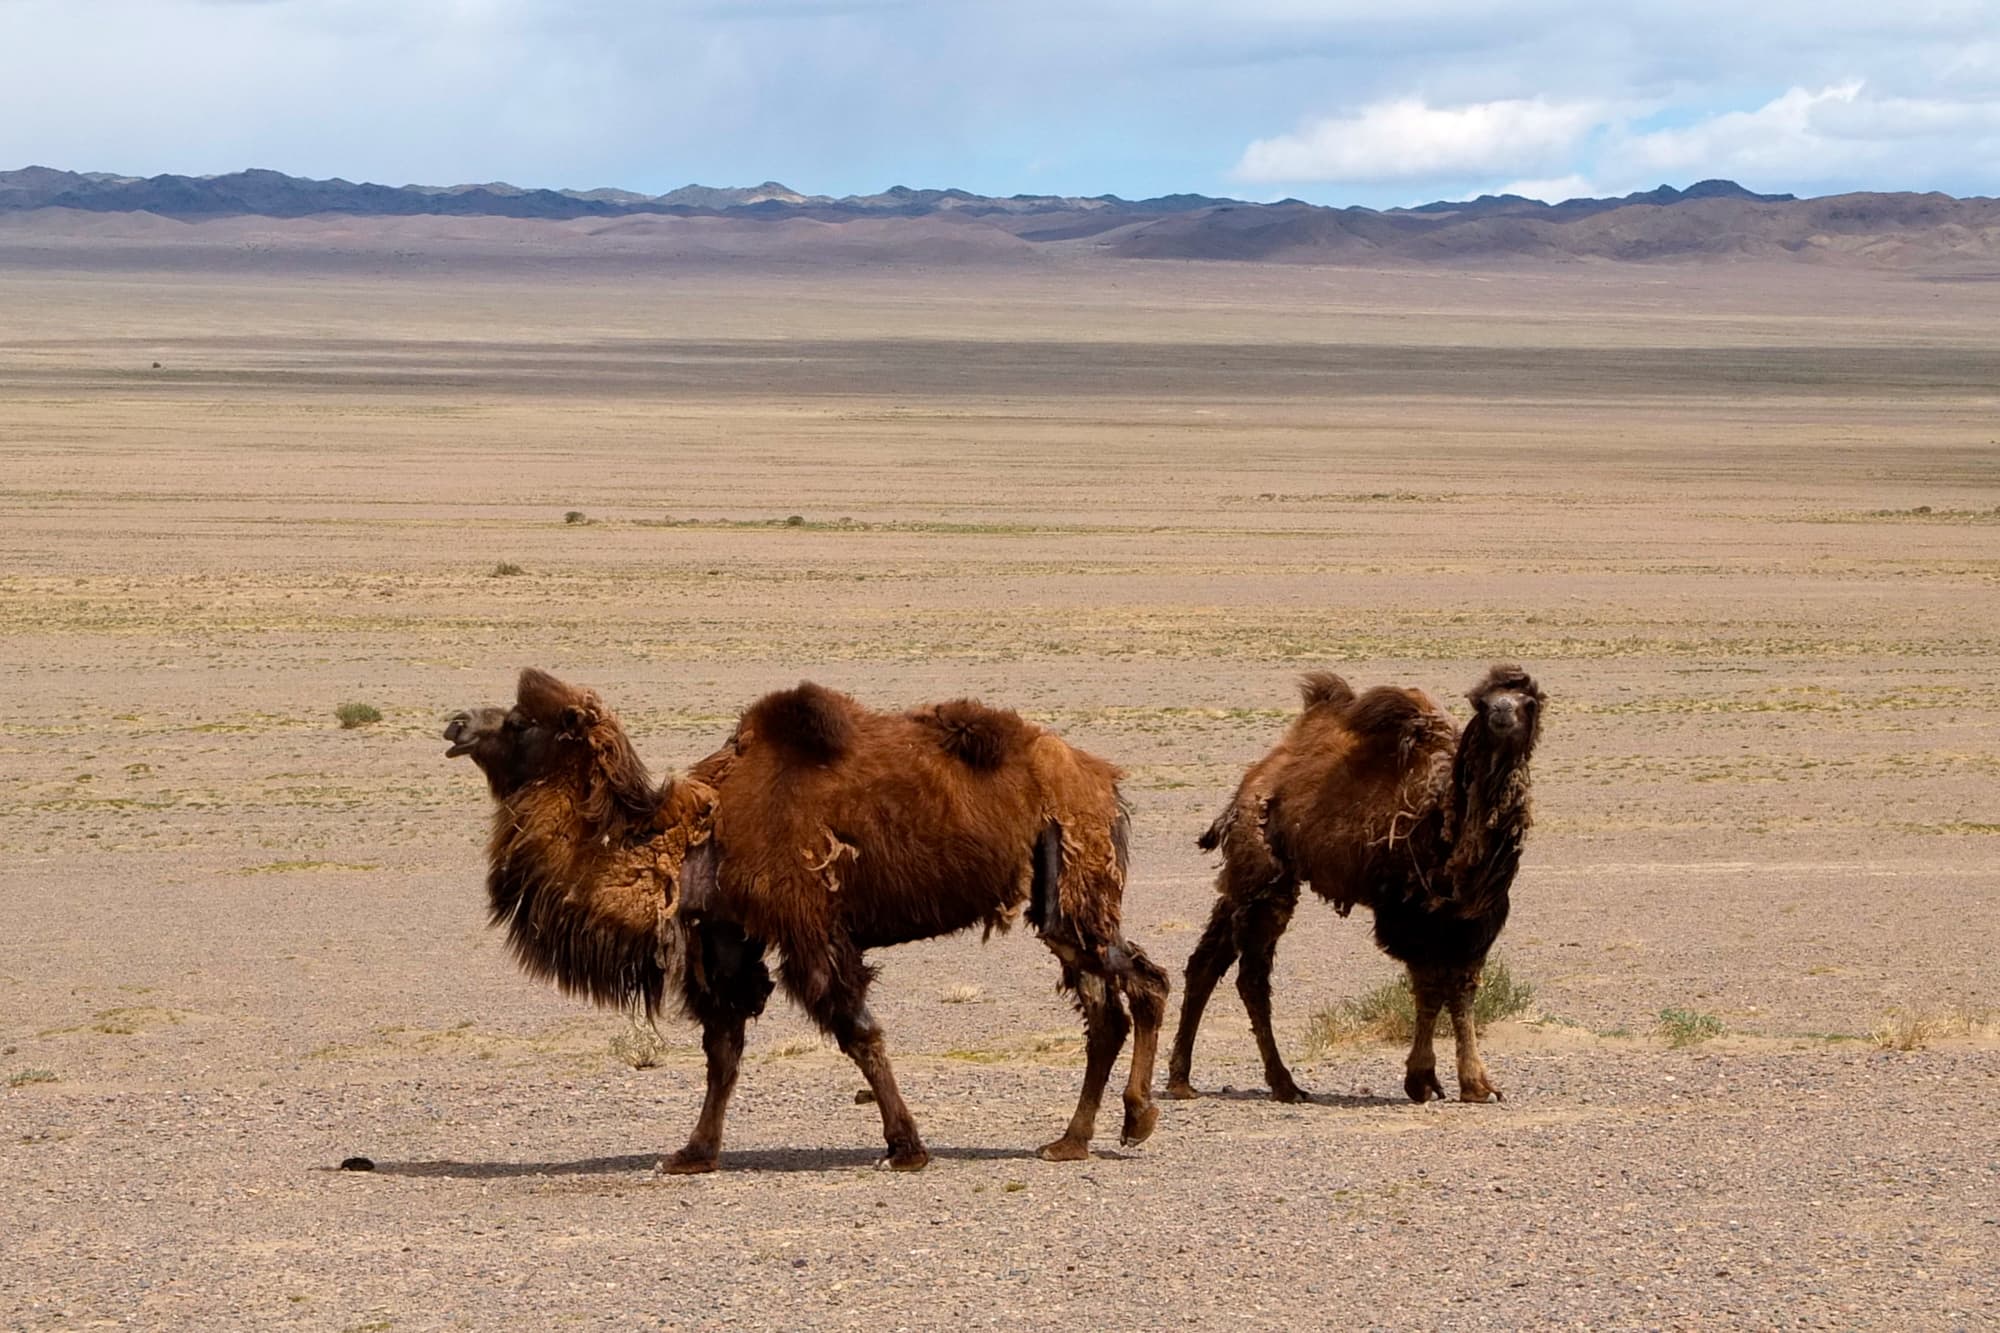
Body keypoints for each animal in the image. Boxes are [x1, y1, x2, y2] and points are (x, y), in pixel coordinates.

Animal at [444, 668, 1168, 1172]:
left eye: (518, 722)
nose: (455, 723)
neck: (693, 839)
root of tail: (1104, 780)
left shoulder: (809, 928)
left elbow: (859, 1033)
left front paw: (907, 1147)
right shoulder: (728, 939)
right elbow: (723, 1051)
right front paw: (693, 1153)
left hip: (1075, 885)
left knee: (1135, 987)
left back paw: (1120, 1123)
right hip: (1064, 905)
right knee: (1118, 997)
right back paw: (1082, 1136)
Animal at [1166, 664, 1543, 1106]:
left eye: (1529, 702)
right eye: (1482, 704)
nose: (1502, 713)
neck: (1450, 825)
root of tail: (1254, 780)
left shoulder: (1475, 921)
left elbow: (1461, 989)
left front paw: (1474, 1084)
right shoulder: (1407, 914)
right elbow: (1431, 988)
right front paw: (1425, 1079)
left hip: (1244, 883)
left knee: (1206, 961)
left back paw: (1182, 1079)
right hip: (1265, 876)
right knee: (1252, 977)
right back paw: (1284, 1084)